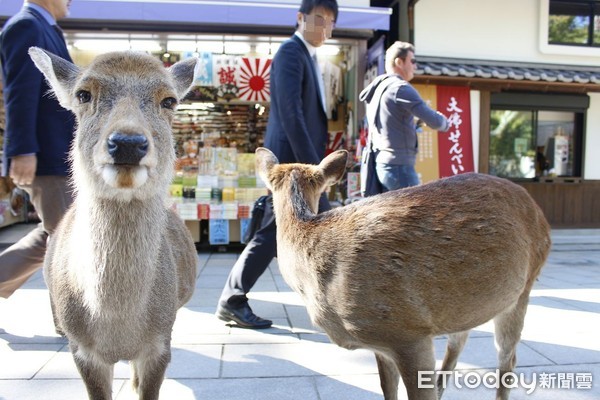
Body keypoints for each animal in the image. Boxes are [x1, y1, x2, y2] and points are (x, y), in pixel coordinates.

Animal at [28, 47, 197, 400]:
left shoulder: (161, 343)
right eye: (83, 94)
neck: (118, 326)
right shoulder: (82, 350)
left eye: (169, 100)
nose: (128, 143)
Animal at [255, 148, 552, 400]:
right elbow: (388, 389)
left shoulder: (408, 332)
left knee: (508, 358)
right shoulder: (381, 344)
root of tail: (540, 214)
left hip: (523, 288)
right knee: (459, 340)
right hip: (468, 303)